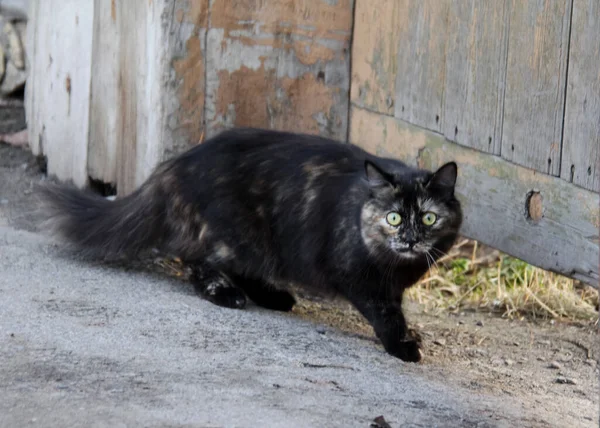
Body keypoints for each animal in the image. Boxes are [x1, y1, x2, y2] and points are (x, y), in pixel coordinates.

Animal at [43, 127, 464, 362]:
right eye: (393, 218)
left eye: (428, 218)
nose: (410, 239)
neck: (399, 267)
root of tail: (172, 167)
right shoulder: (358, 277)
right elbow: (386, 315)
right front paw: (403, 345)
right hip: (236, 236)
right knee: (194, 259)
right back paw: (227, 294)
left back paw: (275, 297)